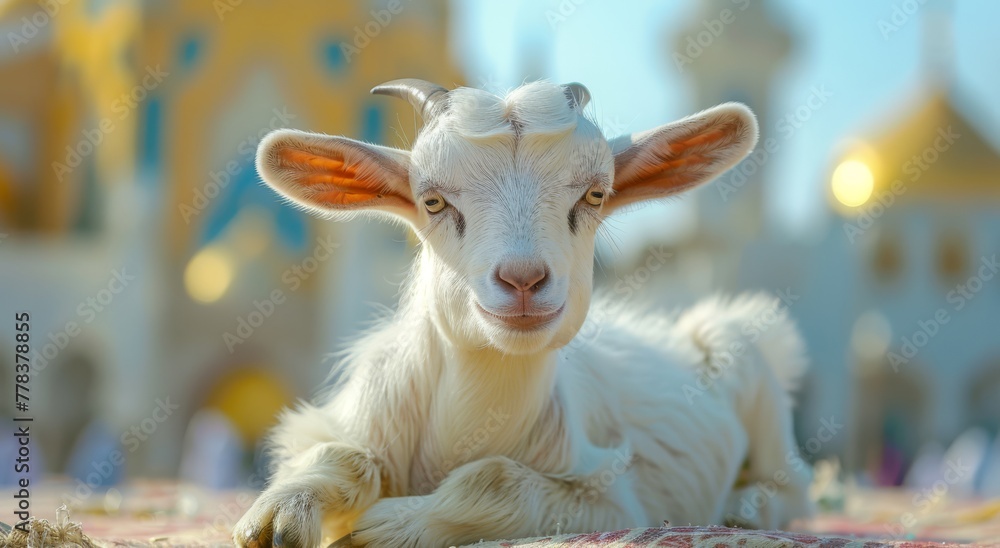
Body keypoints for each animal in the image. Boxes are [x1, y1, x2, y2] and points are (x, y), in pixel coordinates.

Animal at [233, 79, 812, 548]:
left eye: (595, 194)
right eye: (432, 201)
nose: (523, 280)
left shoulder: (614, 499)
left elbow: (496, 480)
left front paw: (387, 526)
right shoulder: (349, 420)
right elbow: (341, 456)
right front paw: (281, 514)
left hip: (746, 354)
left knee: (794, 484)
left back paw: (742, 509)